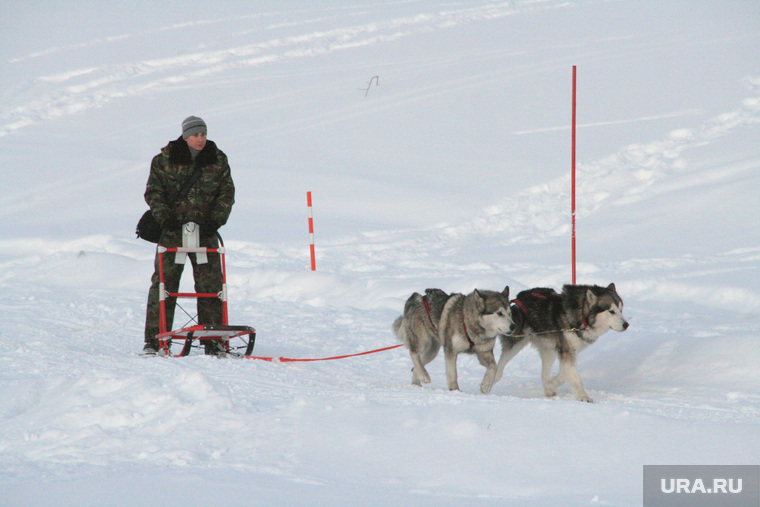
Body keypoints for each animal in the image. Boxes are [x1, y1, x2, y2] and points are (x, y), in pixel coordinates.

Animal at [492, 284, 628, 402]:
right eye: (611, 311)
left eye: (621, 310)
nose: (626, 324)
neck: (581, 316)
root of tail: (519, 298)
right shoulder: (567, 351)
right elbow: (574, 377)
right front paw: (583, 397)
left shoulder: (569, 351)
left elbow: (565, 374)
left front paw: (550, 385)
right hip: (516, 342)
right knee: (500, 365)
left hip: (549, 351)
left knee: (544, 373)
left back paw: (548, 389)